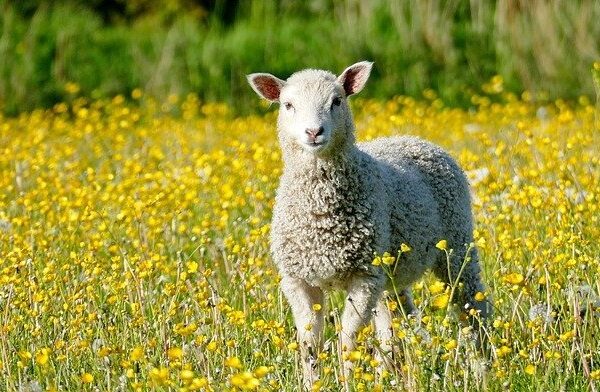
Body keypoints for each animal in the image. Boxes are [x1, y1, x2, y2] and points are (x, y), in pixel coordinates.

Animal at [246, 62, 490, 388]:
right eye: (288, 105)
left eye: (337, 101)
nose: (314, 132)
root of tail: (415, 139)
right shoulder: (298, 280)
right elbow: (309, 342)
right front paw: (313, 383)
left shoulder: (363, 277)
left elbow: (347, 341)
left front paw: (348, 381)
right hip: (391, 273)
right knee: (397, 322)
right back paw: (398, 375)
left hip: (456, 243)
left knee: (472, 306)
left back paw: (485, 367)